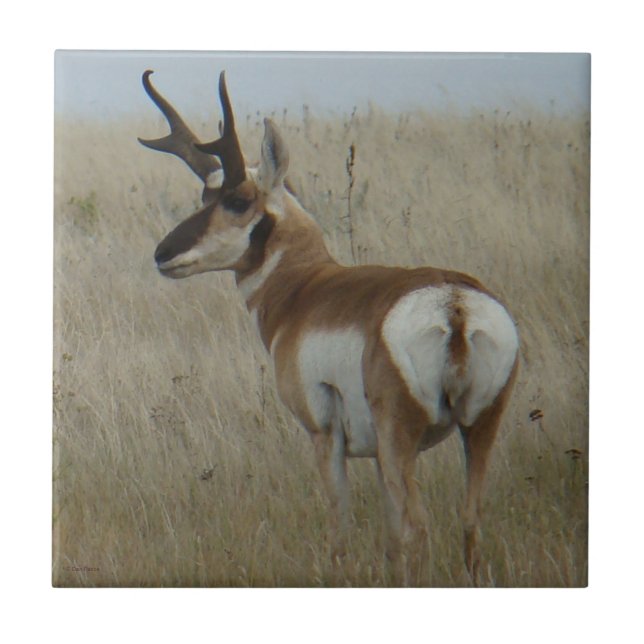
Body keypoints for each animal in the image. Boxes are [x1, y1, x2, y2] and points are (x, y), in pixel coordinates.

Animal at [139, 70, 519, 586]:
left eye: (237, 199)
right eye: (204, 195)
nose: (164, 253)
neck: (307, 287)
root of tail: (453, 305)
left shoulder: (325, 436)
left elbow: (341, 527)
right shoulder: (378, 455)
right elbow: (389, 539)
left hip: (402, 437)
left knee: (419, 528)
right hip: (478, 429)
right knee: (469, 523)